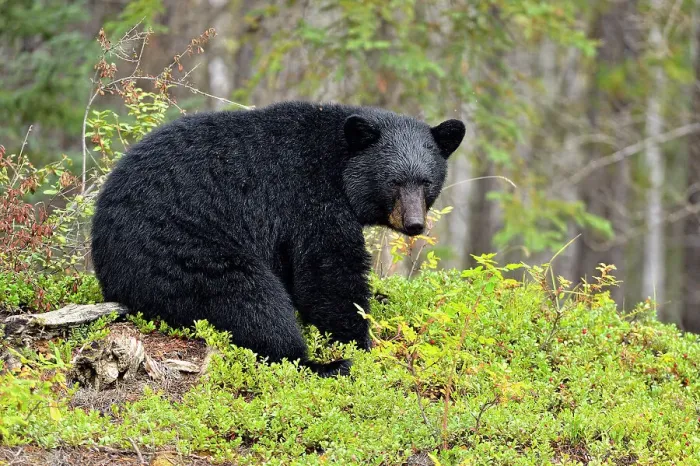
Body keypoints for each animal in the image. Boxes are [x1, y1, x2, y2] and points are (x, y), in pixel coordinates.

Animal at [90, 101, 465, 377]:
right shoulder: (309, 197)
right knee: (251, 300)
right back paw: (320, 364)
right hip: (183, 252)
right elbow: (327, 271)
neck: (338, 161)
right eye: (394, 182)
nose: (414, 224)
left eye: (426, 182)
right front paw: (358, 341)